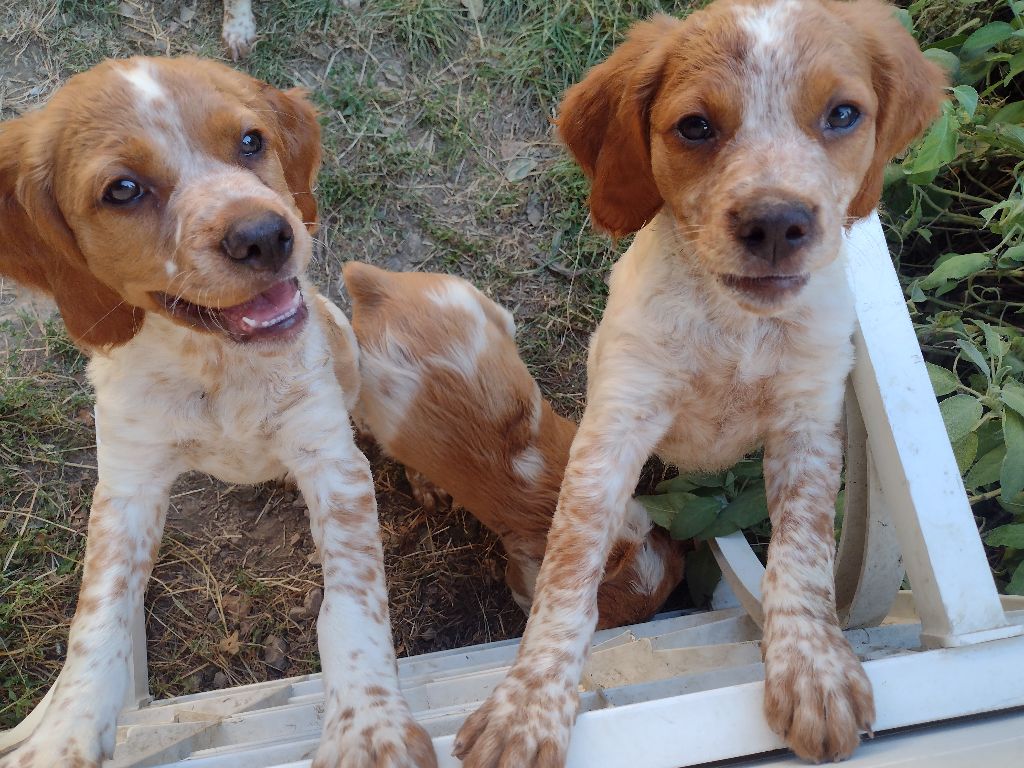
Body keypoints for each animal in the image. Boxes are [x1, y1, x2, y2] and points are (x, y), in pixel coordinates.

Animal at [0, 55, 436, 768]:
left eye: (251, 142)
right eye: (123, 189)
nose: (265, 236)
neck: (216, 364)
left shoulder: (329, 459)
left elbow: (352, 602)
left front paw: (370, 730)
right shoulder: (128, 486)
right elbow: (98, 619)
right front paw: (64, 735)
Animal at [452, 3, 946, 765]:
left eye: (842, 114)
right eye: (694, 126)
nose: (775, 222)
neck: (734, 324)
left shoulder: (807, 423)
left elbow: (802, 548)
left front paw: (814, 670)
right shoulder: (616, 427)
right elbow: (571, 563)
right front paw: (528, 703)